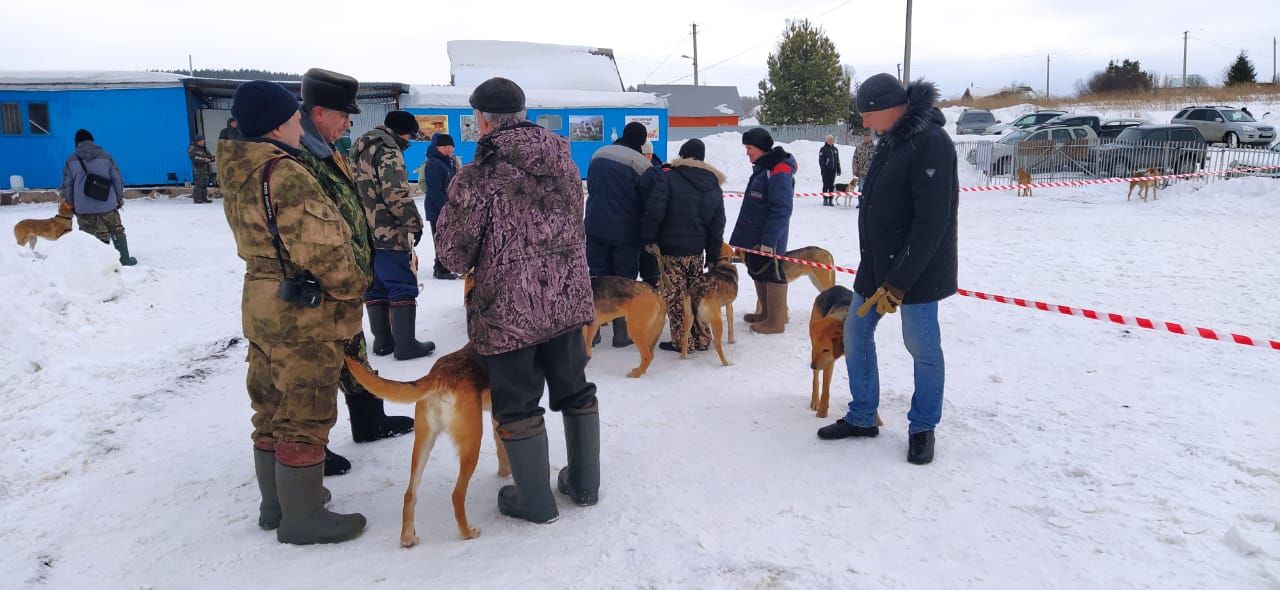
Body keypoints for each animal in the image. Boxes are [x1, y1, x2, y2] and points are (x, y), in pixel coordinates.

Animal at [348, 345, 517, 547]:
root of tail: (441, 374)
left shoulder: (496, 415)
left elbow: (502, 450)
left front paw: (504, 473)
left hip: (423, 444)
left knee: (409, 495)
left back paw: (407, 539)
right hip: (471, 446)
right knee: (457, 495)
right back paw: (467, 533)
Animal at [803, 285, 885, 422]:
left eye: (826, 349)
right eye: (821, 348)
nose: (812, 366)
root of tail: (833, 288)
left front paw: (875, 419)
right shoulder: (827, 360)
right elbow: (825, 389)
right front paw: (822, 413)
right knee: (816, 378)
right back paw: (815, 400)